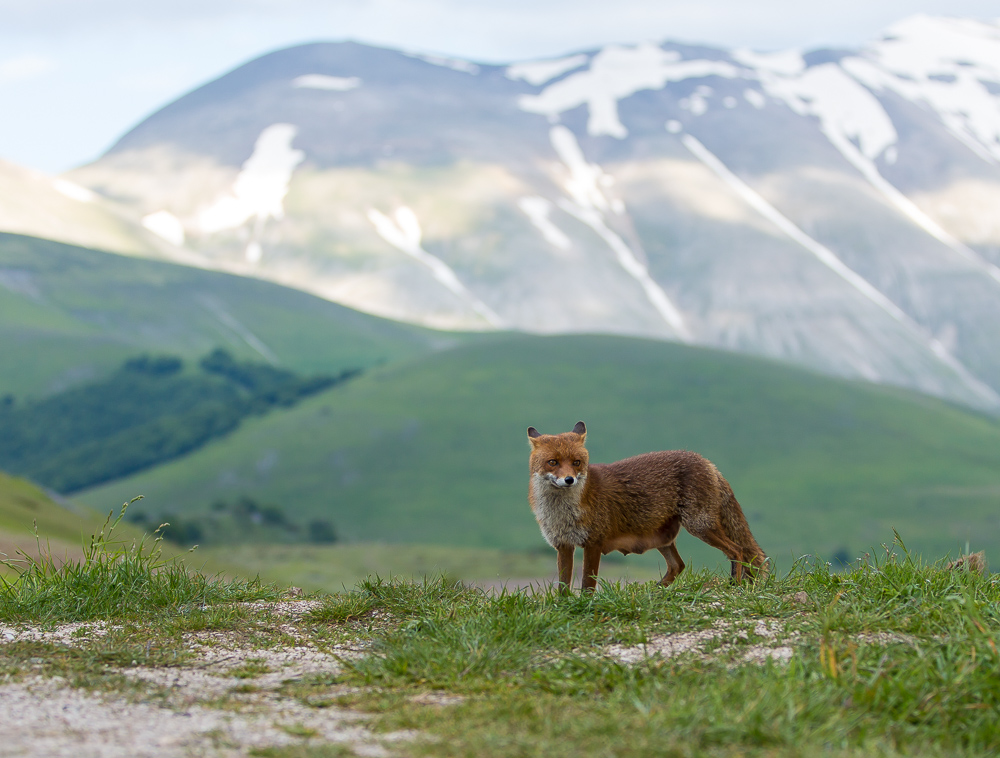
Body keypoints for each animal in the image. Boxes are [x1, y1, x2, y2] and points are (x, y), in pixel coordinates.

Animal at [528, 422, 768, 592]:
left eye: (576, 462)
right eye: (553, 462)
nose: (569, 480)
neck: (562, 514)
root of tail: (707, 462)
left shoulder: (593, 542)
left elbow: (587, 584)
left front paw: (585, 606)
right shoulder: (563, 545)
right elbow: (563, 587)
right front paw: (563, 607)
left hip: (699, 526)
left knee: (737, 550)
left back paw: (735, 586)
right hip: (663, 538)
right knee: (678, 565)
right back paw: (654, 592)